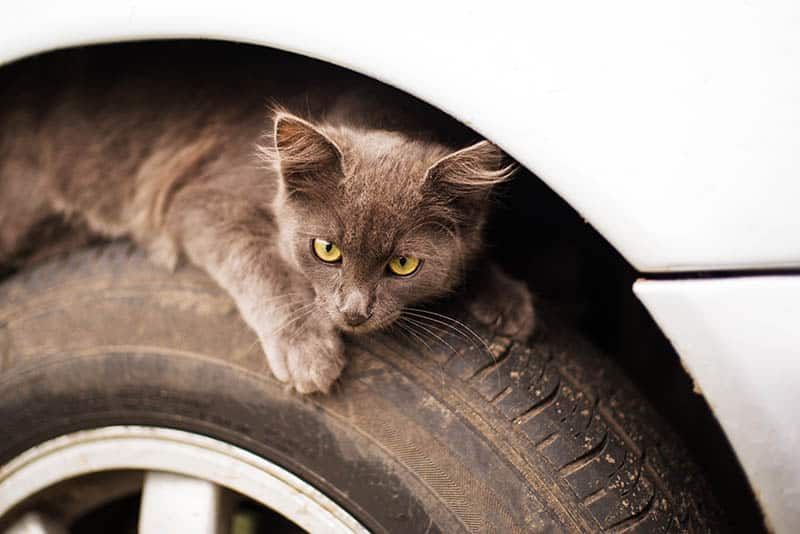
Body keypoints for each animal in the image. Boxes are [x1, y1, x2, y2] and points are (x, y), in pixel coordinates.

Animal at [3, 51, 536, 394]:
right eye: (326, 250)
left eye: (403, 265)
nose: (354, 312)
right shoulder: (198, 199)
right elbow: (261, 263)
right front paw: (307, 350)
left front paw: (506, 301)